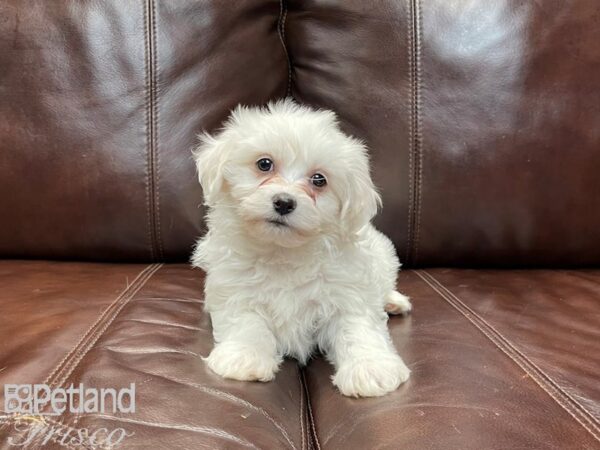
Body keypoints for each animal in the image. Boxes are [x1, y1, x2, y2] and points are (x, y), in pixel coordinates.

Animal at [192, 99, 412, 398]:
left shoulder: (347, 294)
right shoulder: (235, 289)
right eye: (264, 164)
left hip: (384, 256)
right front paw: (244, 357)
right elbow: (247, 323)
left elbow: (358, 329)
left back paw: (393, 301)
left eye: (319, 180)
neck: (283, 251)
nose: (284, 202)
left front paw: (371, 369)